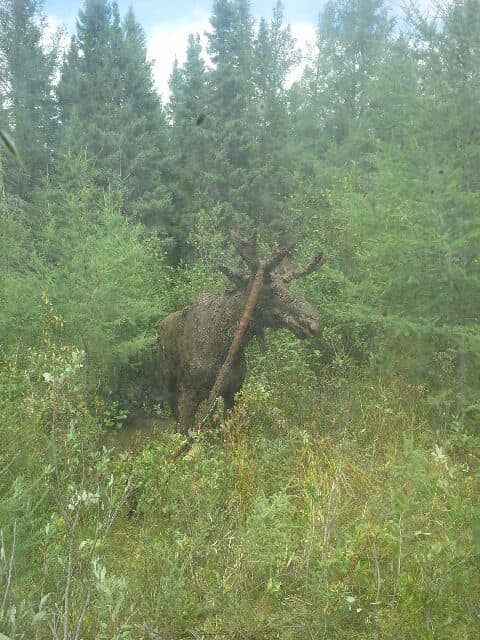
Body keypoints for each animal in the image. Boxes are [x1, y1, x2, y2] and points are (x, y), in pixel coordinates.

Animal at [156, 228, 324, 432]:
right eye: (268, 290)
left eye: (286, 287)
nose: (315, 322)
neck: (225, 346)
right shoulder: (189, 394)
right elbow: (185, 431)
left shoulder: (233, 391)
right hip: (168, 381)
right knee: (174, 414)